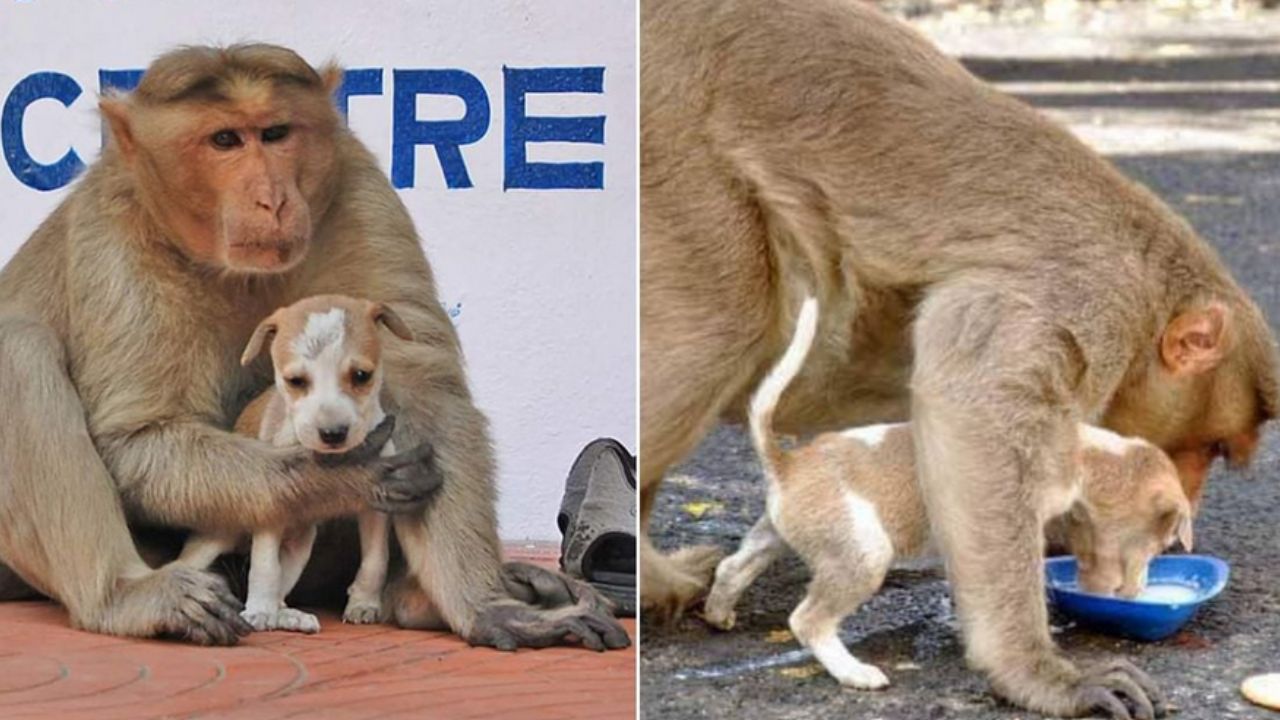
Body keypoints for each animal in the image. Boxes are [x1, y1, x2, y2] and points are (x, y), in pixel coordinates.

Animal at [175, 292, 412, 627]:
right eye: (296, 381)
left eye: (361, 376)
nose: (333, 433)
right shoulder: (270, 510)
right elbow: (264, 567)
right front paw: (258, 611)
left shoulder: (375, 509)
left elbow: (376, 559)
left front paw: (364, 603)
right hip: (214, 539)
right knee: (187, 564)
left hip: (301, 545)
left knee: (283, 588)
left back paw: (288, 616)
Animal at [701, 295, 1187, 681]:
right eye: (1162, 542)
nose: (1138, 592)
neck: (1086, 455)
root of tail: (788, 464)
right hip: (863, 554)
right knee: (808, 620)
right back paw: (855, 672)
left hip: (777, 535)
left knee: (732, 567)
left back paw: (719, 613)